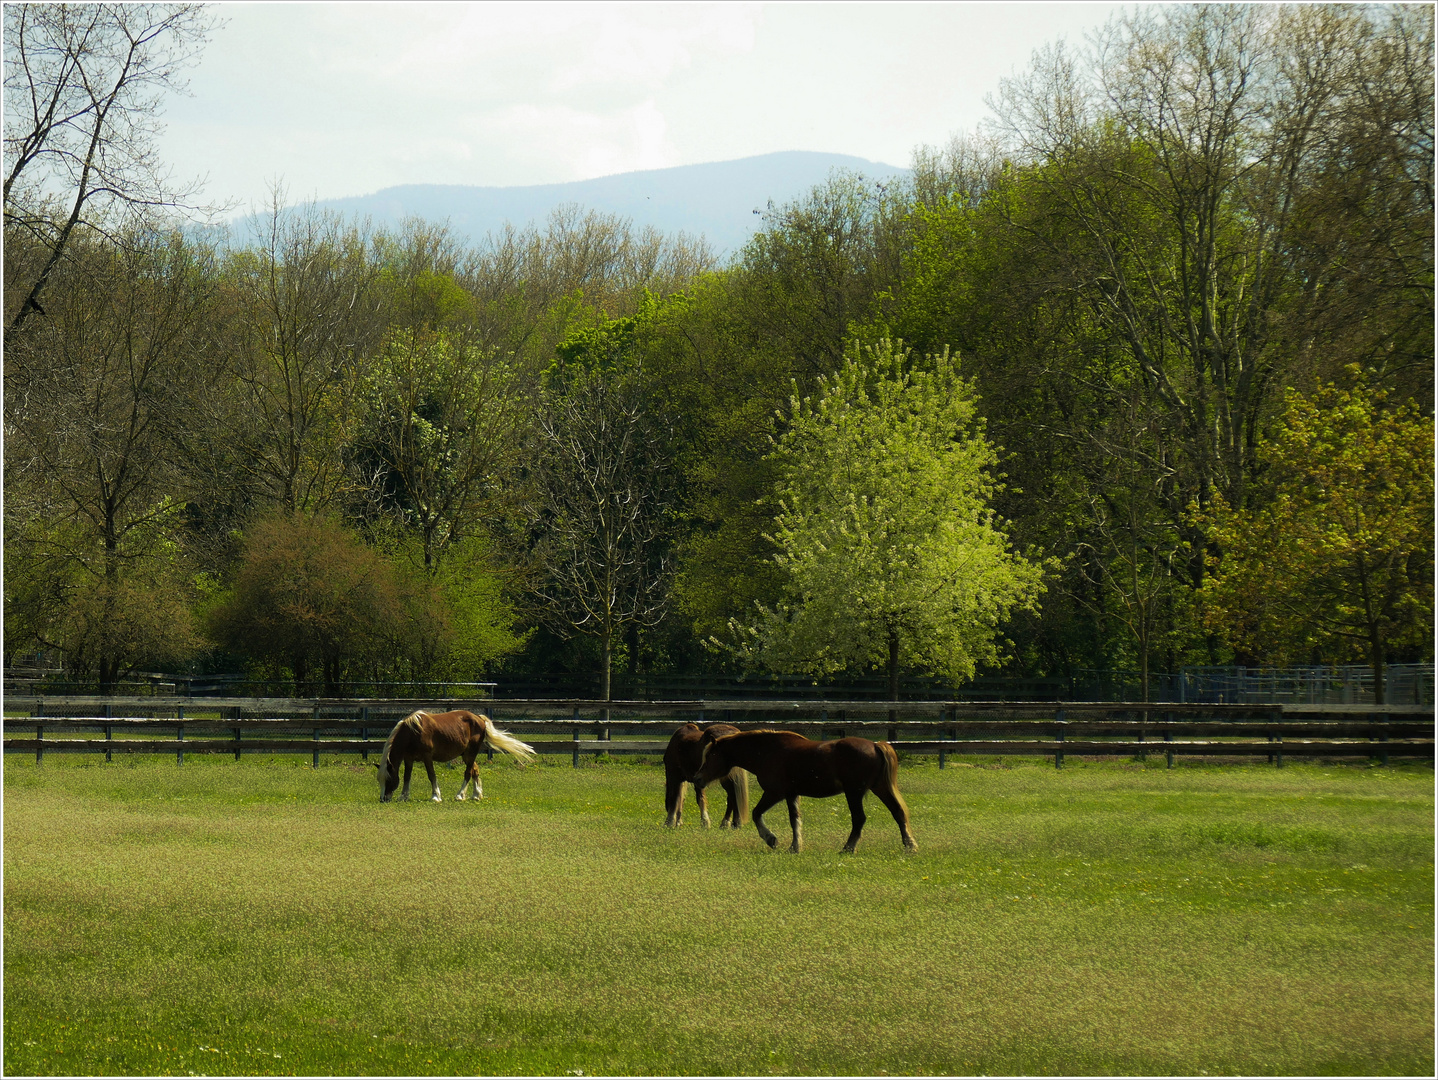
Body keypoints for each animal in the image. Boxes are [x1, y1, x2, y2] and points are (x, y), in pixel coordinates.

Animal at [379, 710, 537, 805]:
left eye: (388, 780)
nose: (383, 799)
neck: (413, 731)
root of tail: (479, 719)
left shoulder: (427, 757)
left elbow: (432, 776)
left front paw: (436, 796)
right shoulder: (409, 758)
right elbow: (407, 777)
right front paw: (403, 796)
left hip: (471, 753)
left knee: (468, 773)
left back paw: (460, 795)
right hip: (467, 755)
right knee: (475, 771)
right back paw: (476, 795)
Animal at [690, 727, 914, 851]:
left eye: (710, 756)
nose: (697, 778)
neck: (767, 751)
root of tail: (875, 745)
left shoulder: (774, 793)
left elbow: (756, 813)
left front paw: (771, 839)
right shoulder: (791, 795)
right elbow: (795, 820)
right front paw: (795, 846)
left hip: (854, 793)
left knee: (859, 819)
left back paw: (848, 848)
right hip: (880, 788)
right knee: (898, 812)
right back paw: (909, 845)